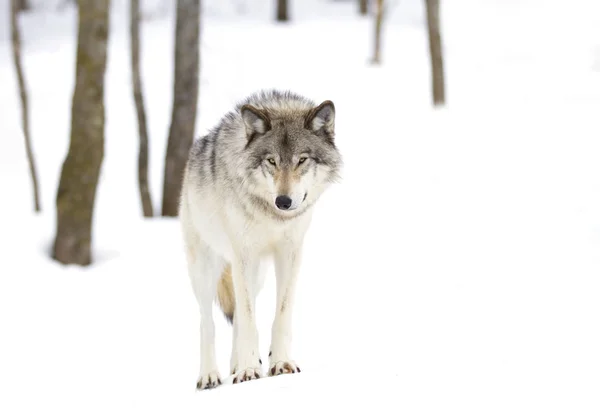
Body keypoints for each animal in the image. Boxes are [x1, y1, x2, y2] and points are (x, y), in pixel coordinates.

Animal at [179, 88, 342, 388]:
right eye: (272, 161)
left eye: (302, 160)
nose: (284, 201)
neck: (272, 216)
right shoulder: (243, 256)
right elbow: (246, 319)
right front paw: (248, 370)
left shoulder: (290, 253)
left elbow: (280, 314)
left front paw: (279, 363)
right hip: (207, 269)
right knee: (208, 322)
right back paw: (210, 375)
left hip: (256, 275)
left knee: (239, 317)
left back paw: (236, 365)